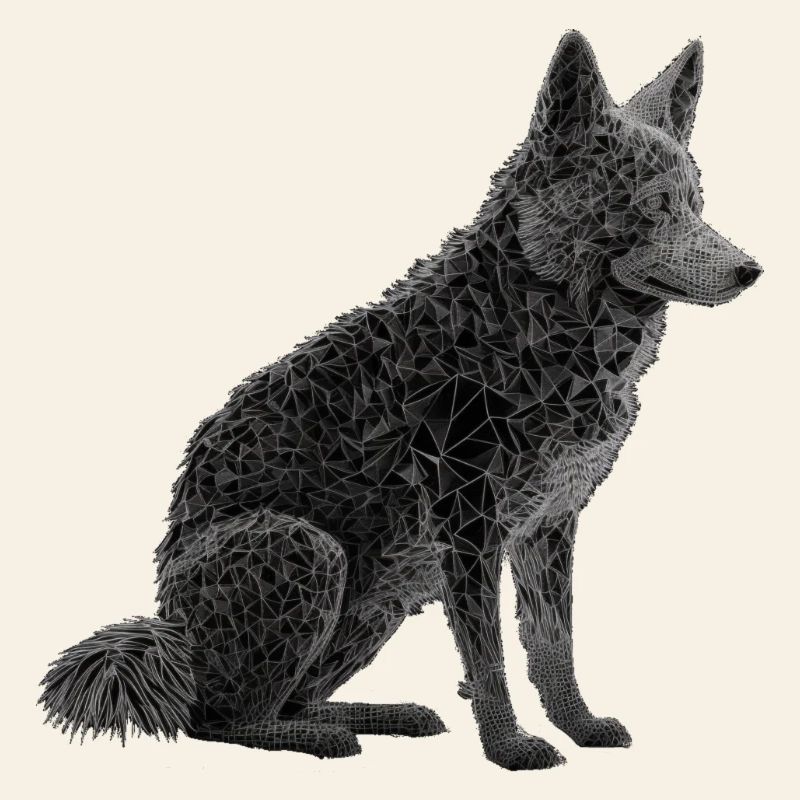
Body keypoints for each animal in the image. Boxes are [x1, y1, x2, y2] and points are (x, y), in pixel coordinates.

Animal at [40, 31, 762, 770]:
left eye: (697, 204)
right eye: (655, 206)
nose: (752, 270)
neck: (534, 322)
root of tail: (168, 641)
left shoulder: (548, 523)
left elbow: (553, 644)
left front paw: (579, 726)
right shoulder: (468, 525)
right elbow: (489, 655)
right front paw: (510, 748)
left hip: (382, 597)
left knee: (280, 699)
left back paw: (377, 715)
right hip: (310, 550)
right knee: (217, 718)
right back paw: (319, 737)